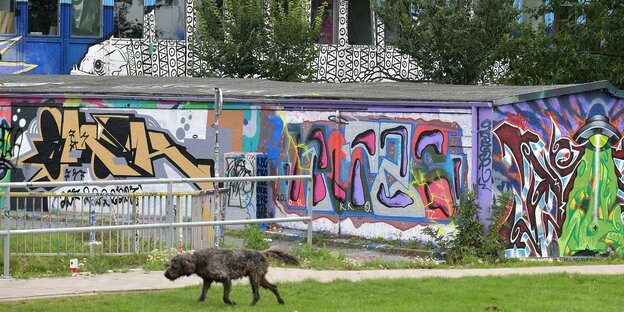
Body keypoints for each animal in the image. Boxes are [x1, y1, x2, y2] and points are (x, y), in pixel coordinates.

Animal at [163, 247, 300, 306]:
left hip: (254, 278)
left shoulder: (226, 279)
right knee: (274, 287)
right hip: (260, 278)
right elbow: (203, 294)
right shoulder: (207, 280)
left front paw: (231, 302)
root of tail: (262, 253)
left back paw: (252, 305)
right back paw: (280, 301)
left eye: (174, 266)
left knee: (257, 294)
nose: (165, 274)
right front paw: (199, 302)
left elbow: (225, 297)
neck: (199, 260)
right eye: (171, 264)